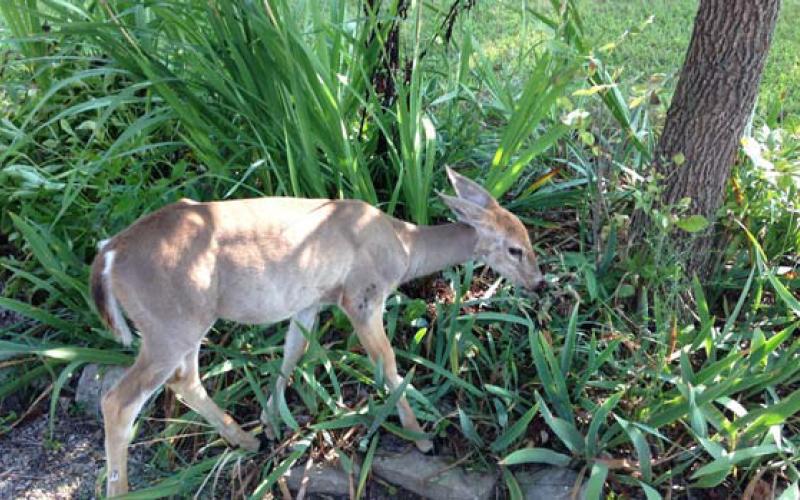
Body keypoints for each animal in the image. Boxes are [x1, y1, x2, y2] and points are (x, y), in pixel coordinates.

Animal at [90, 166, 544, 496]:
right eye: (514, 248)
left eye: (527, 236)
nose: (539, 282)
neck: (403, 245)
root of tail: (109, 254)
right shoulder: (362, 297)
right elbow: (388, 364)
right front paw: (421, 437)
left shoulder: (309, 302)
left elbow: (291, 354)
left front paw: (272, 421)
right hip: (170, 325)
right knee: (119, 400)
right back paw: (123, 489)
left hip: (184, 325)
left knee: (185, 382)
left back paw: (247, 441)